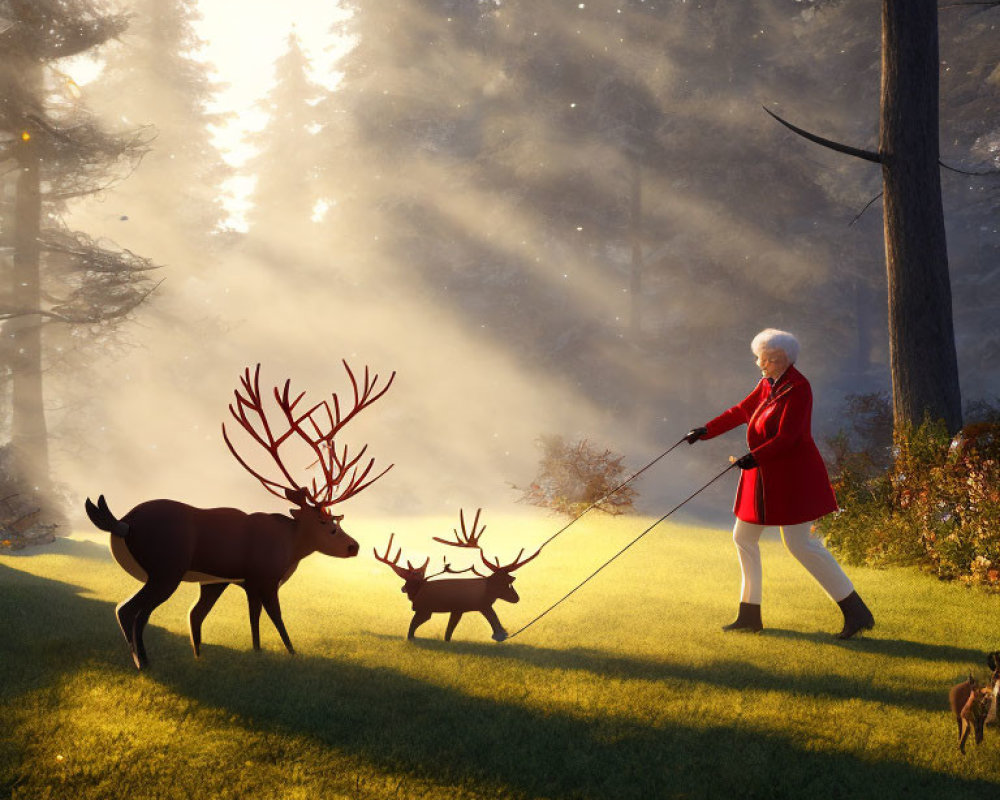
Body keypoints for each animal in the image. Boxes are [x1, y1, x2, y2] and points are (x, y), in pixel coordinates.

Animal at [84, 362, 392, 668]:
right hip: (165, 569)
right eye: (327, 523)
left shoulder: (244, 583)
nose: (354, 546)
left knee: (182, 614)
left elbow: (253, 617)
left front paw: (257, 651)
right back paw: (145, 664)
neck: (290, 546)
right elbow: (277, 617)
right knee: (130, 610)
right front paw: (292, 653)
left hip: (199, 580)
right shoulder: (265, 577)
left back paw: (188, 657)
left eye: (336, 520)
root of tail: (122, 523)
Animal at [376, 512, 544, 644]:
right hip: (425, 610)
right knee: (411, 629)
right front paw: (500, 634)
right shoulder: (472, 606)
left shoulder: (460, 609)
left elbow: (448, 634)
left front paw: (501, 634)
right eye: (506, 583)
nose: (516, 598)